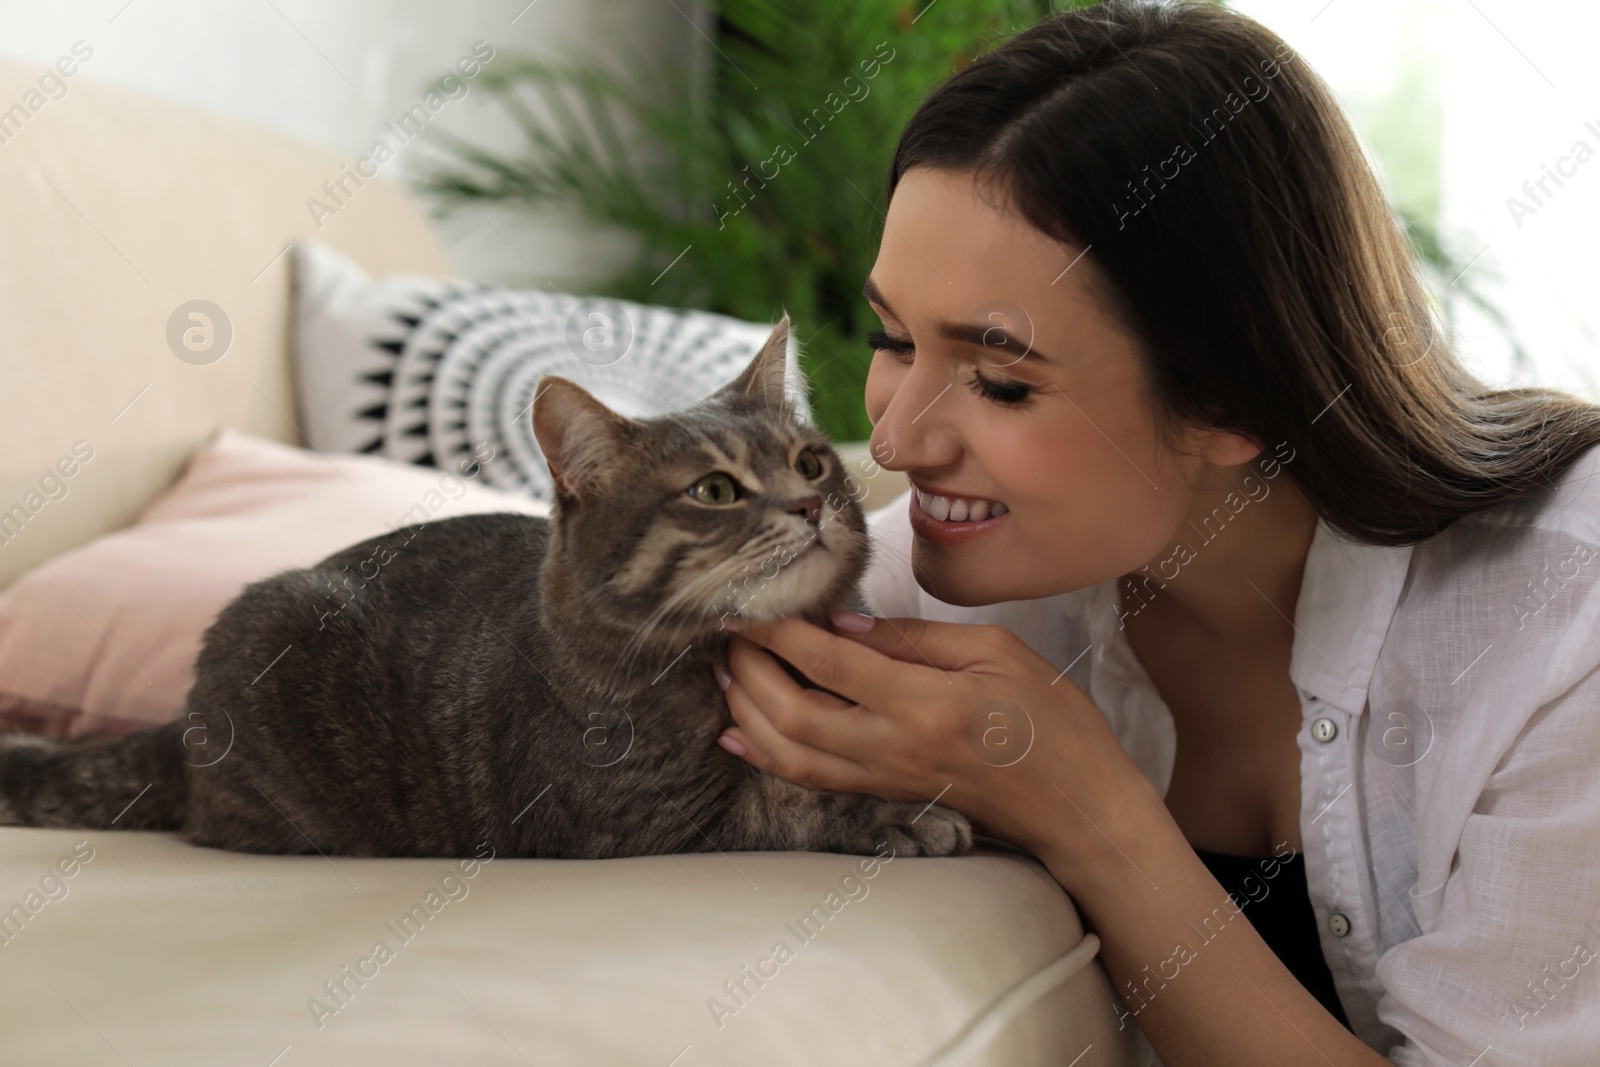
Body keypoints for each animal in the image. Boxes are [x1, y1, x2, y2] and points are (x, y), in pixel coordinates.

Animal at [0, 315, 972, 857]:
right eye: (715, 490)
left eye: (812, 462)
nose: (811, 502)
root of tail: (181, 724)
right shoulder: (632, 824)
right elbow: (786, 802)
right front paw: (899, 812)